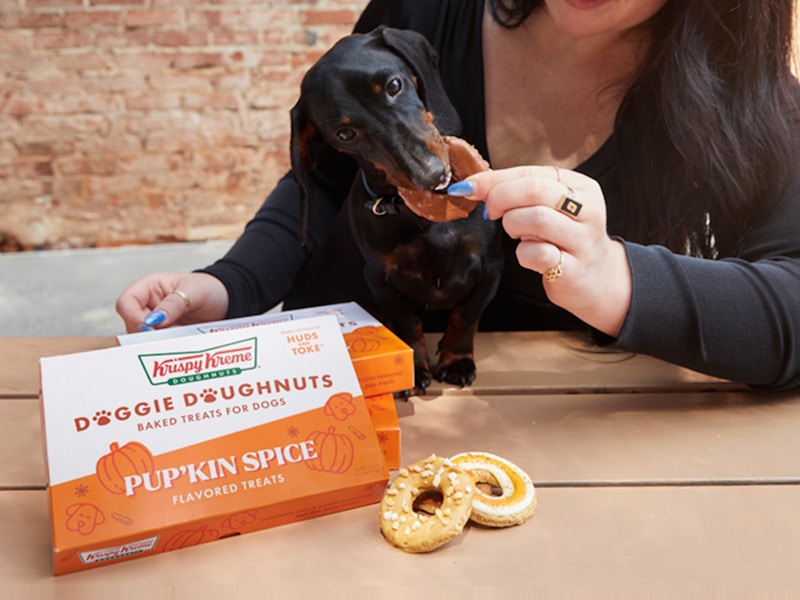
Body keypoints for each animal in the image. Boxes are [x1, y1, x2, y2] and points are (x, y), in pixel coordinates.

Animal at [288, 27, 500, 394]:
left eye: (394, 86)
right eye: (345, 133)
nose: (431, 175)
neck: (427, 221)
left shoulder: (490, 266)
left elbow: (466, 315)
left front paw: (456, 360)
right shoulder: (380, 279)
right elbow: (407, 324)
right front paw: (414, 369)